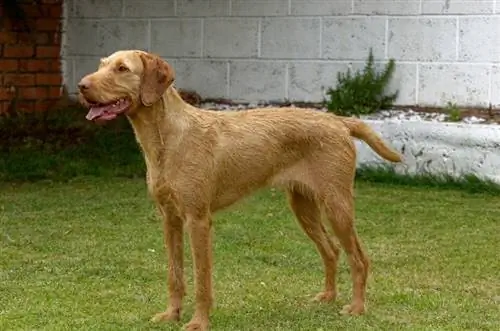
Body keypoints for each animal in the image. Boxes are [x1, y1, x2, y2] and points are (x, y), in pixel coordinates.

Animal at [78, 50, 404, 331]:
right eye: (102, 64)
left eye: (122, 68)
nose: (81, 86)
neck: (167, 138)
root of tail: (338, 120)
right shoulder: (169, 219)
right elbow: (175, 275)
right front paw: (171, 314)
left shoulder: (198, 220)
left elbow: (202, 279)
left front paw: (198, 322)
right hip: (303, 207)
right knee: (331, 251)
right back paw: (327, 297)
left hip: (337, 205)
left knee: (359, 258)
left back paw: (357, 308)